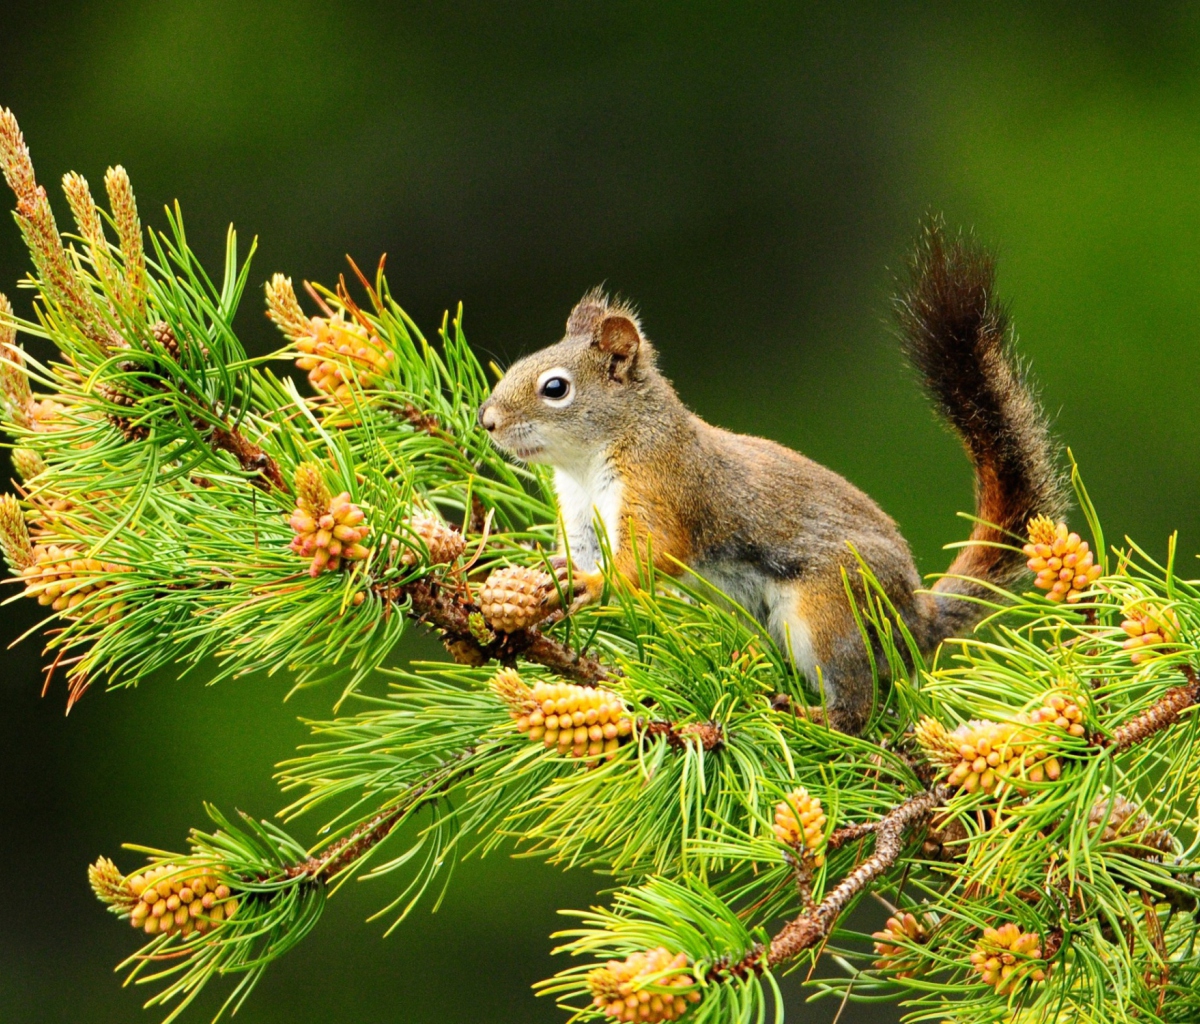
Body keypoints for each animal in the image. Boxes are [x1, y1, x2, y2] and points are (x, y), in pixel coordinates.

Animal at [477, 223, 1070, 734]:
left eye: (556, 388)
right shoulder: (580, 516)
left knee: (857, 702)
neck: (588, 462)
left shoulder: (664, 487)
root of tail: (917, 619)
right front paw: (552, 577)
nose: (487, 421)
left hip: (829, 610)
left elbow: (650, 554)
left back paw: (814, 717)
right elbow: (578, 554)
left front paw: (595, 584)